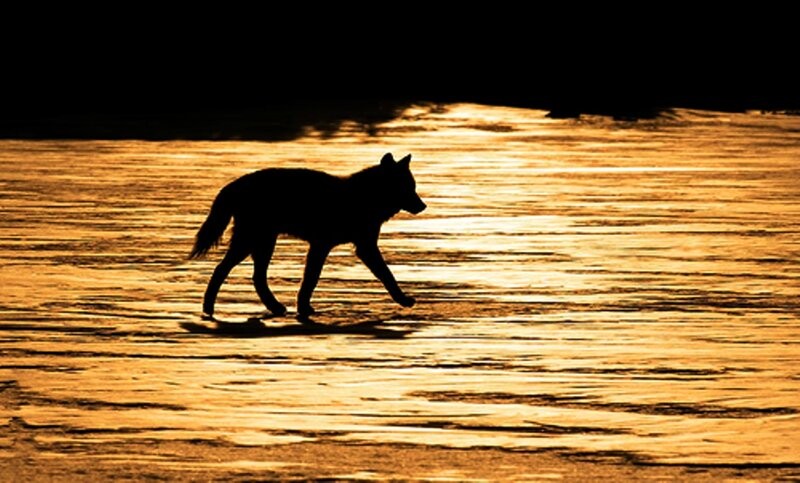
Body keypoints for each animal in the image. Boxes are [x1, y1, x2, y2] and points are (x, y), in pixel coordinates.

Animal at [189, 153, 426, 322]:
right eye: (408, 188)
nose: (423, 206)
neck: (364, 196)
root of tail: (235, 184)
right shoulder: (338, 246)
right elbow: (386, 275)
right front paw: (404, 300)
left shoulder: (340, 246)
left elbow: (311, 279)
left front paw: (303, 307)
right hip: (250, 242)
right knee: (222, 270)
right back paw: (208, 309)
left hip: (263, 243)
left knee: (257, 278)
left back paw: (275, 307)